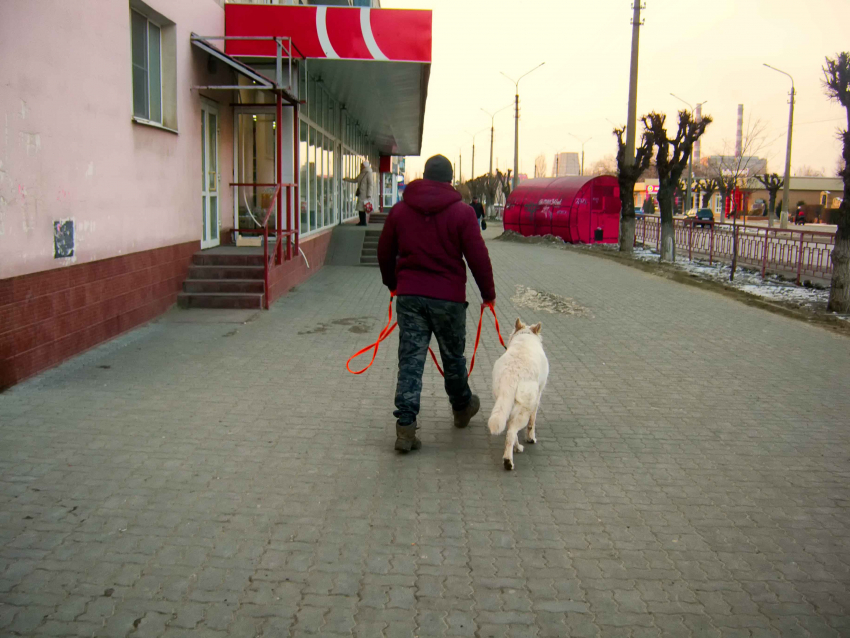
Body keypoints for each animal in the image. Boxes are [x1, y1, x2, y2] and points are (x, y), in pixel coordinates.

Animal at [486, 318, 548, 470]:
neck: (525, 336)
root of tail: (512, 374)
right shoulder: (537, 398)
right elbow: (532, 423)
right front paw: (531, 438)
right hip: (524, 409)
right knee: (511, 432)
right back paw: (508, 460)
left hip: (505, 403)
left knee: (510, 430)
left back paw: (516, 448)